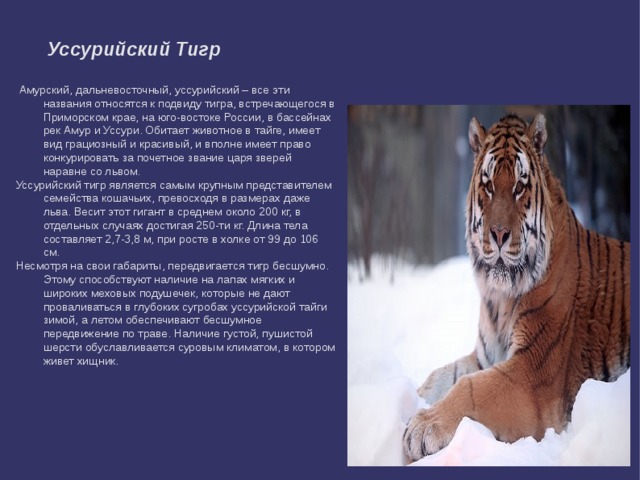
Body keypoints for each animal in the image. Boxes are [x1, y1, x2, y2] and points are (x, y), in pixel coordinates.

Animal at [403, 113, 630, 461]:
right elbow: (438, 379)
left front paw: (422, 427)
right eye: (488, 186)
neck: (498, 298)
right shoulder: (486, 356)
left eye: (520, 187)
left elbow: (470, 388)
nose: (498, 234)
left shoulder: (533, 375)